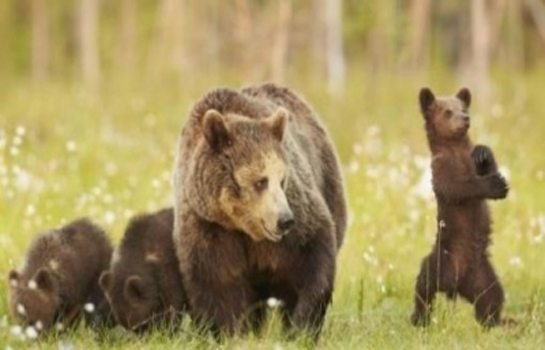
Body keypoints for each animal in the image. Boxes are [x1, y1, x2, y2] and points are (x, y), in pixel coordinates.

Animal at [172, 83, 346, 338]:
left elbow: (312, 257)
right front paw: (231, 332)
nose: (285, 220)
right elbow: (217, 285)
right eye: (260, 181)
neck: (243, 225)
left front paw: (300, 327)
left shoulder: (295, 224)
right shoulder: (209, 227)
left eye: (282, 180)